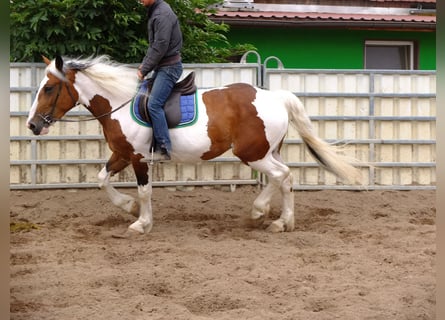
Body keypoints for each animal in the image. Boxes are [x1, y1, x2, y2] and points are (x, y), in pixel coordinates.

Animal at [26, 55, 360, 235]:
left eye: (49, 88)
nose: (32, 125)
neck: (120, 102)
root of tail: (275, 96)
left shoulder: (139, 158)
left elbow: (144, 191)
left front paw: (141, 223)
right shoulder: (122, 154)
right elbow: (101, 179)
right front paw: (129, 207)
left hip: (252, 154)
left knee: (283, 176)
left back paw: (278, 221)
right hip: (264, 152)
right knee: (282, 177)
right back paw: (265, 214)